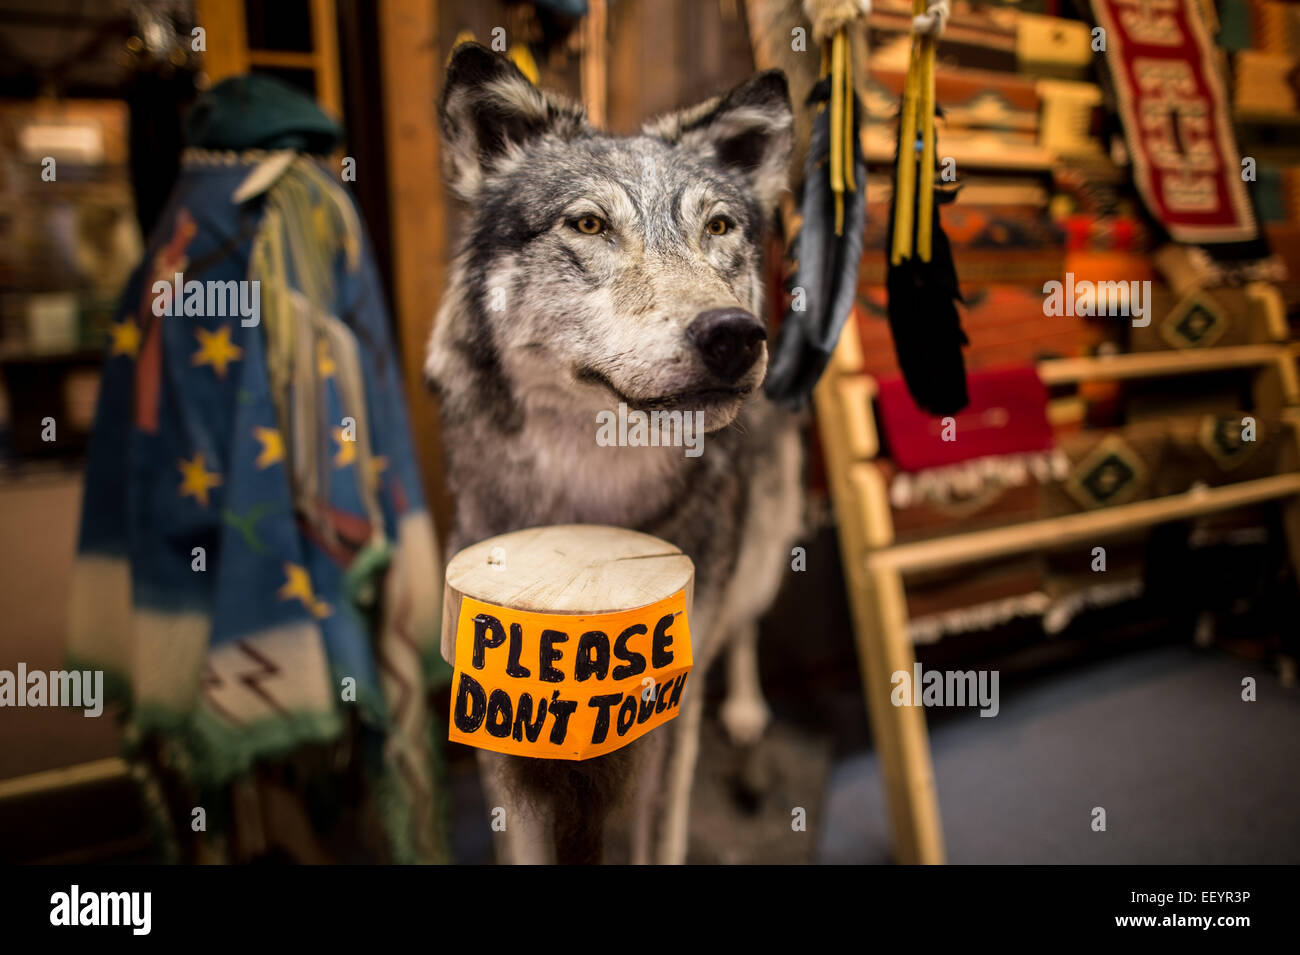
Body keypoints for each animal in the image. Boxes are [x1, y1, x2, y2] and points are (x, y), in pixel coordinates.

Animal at [426, 44, 800, 867]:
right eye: (590, 223)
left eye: (718, 226)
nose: (734, 335)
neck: (590, 504)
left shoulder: (670, 718)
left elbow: (658, 836)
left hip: (762, 545)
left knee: (746, 621)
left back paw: (749, 708)